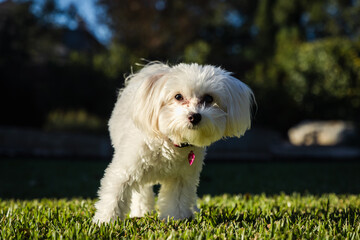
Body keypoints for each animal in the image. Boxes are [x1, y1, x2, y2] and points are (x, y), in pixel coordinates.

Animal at [94, 62, 255, 223]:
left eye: (209, 98)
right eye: (178, 96)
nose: (194, 116)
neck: (171, 142)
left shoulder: (181, 179)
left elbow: (176, 201)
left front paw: (176, 219)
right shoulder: (125, 171)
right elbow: (114, 197)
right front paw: (106, 221)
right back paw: (141, 212)